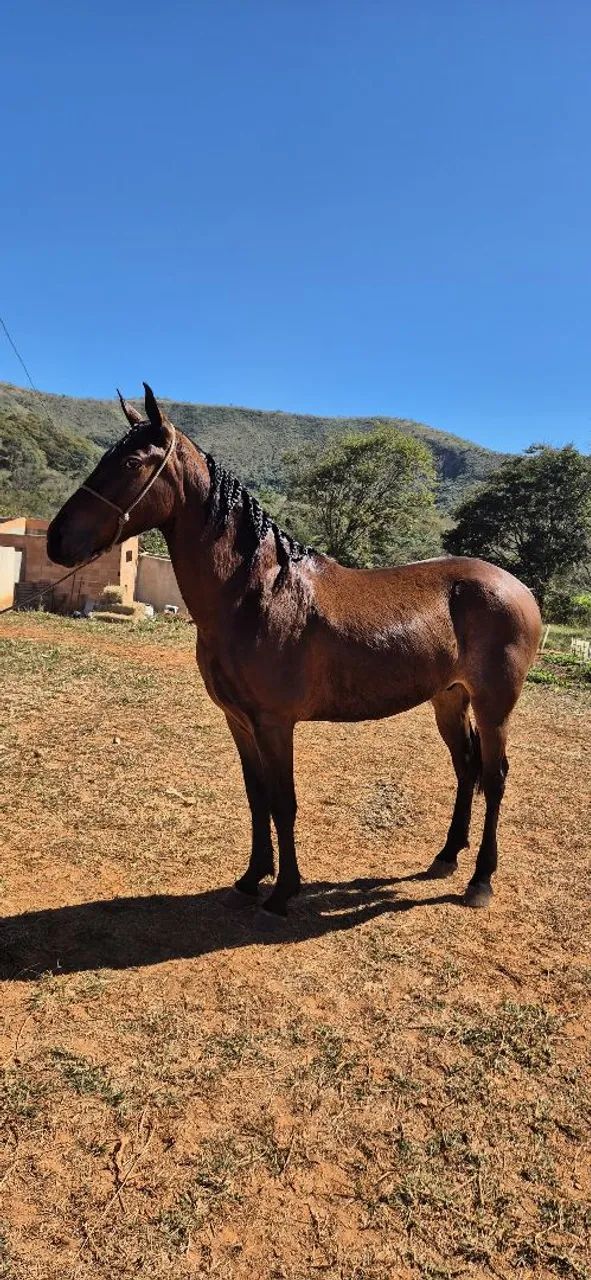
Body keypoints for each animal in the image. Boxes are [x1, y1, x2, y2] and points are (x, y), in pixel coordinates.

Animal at [47, 384, 542, 922]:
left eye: (132, 462)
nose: (56, 539)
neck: (257, 592)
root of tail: (520, 589)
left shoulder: (274, 723)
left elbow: (284, 802)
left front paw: (284, 890)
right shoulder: (239, 722)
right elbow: (257, 797)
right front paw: (251, 878)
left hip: (494, 707)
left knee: (494, 777)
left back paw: (480, 881)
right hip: (449, 699)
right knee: (466, 769)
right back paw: (447, 856)